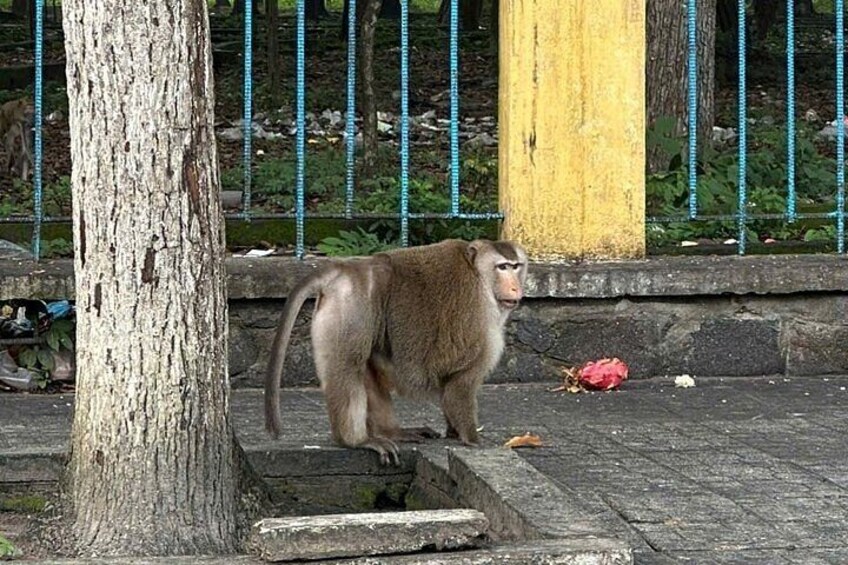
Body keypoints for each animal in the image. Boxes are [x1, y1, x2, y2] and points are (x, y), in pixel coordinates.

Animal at [265, 238, 527, 465]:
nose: (516, 288)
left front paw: (453, 431)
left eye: (516, 266)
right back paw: (355, 440)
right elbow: (460, 385)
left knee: (367, 364)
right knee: (349, 366)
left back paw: (390, 432)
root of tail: (347, 269)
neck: (480, 278)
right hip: (350, 311)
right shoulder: (481, 325)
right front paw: (474, 440)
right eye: (503, 267)